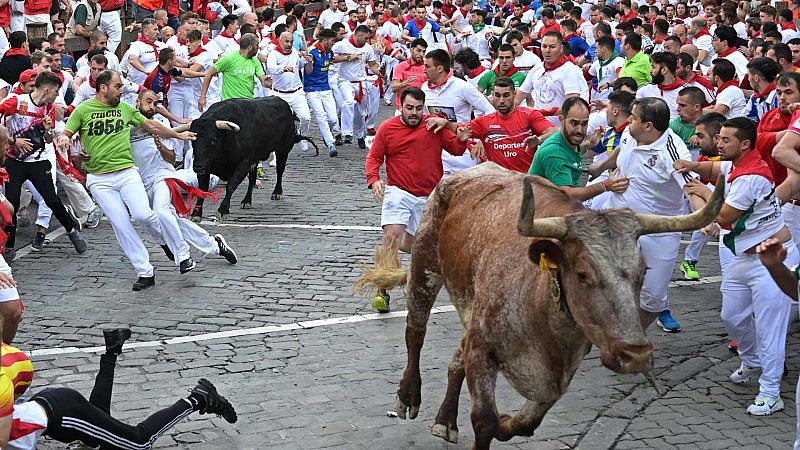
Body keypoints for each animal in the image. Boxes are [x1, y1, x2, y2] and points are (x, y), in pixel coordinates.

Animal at [177, 96, 318, 221]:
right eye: (193, 140)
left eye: (213, 140)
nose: (198, 166)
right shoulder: (206, 168)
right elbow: (202, 189)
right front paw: (196, 214)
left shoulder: (243, 163)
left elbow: (231, 185)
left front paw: (223, 210)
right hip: (255, 159)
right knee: (252, 179)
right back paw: (246, 201)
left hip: (282, 150)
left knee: (280, 171)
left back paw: (277, 192)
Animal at [356, 163, 724, 448]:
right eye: (582, 274)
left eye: (643, 270)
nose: (636, 355)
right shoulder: (483, 348)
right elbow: (484, 420)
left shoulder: (558, 374)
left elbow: (526, 422)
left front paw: (507, 423)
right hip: (426, 266)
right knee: (415, 331)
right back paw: (408, 395)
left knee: (454, 357)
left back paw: (446, 420)